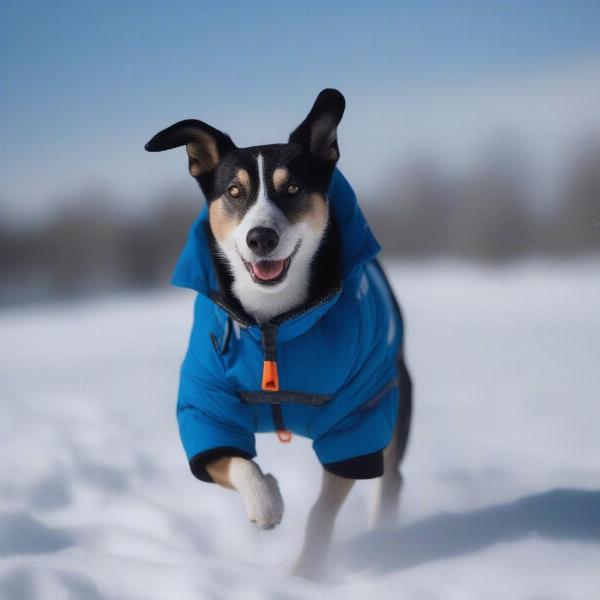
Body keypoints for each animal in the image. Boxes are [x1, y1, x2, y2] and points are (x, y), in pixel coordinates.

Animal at [144, 89, 412, 576]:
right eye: (234, 191)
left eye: (293, 189)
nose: (261, 238)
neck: (272, 322)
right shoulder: (207, 402)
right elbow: (231, 459)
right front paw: (266, 500)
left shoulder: (355, 418)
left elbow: (323, 510)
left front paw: (305, 574)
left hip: (391, 393)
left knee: (390, 479)